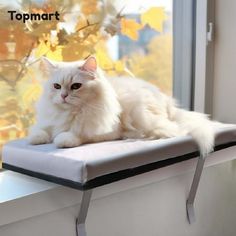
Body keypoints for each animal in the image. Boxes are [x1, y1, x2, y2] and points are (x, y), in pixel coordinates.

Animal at [28, 56, 216, 156]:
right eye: (57, 86)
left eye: (76, 86)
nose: (63, 96)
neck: (71, 113)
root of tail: (168, 102)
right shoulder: (49, 123)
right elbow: (40, 132)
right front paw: (37, 138)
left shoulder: (104, 131)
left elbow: (76, 135)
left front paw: (62, 139)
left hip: (140, 112)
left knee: (167, 129)